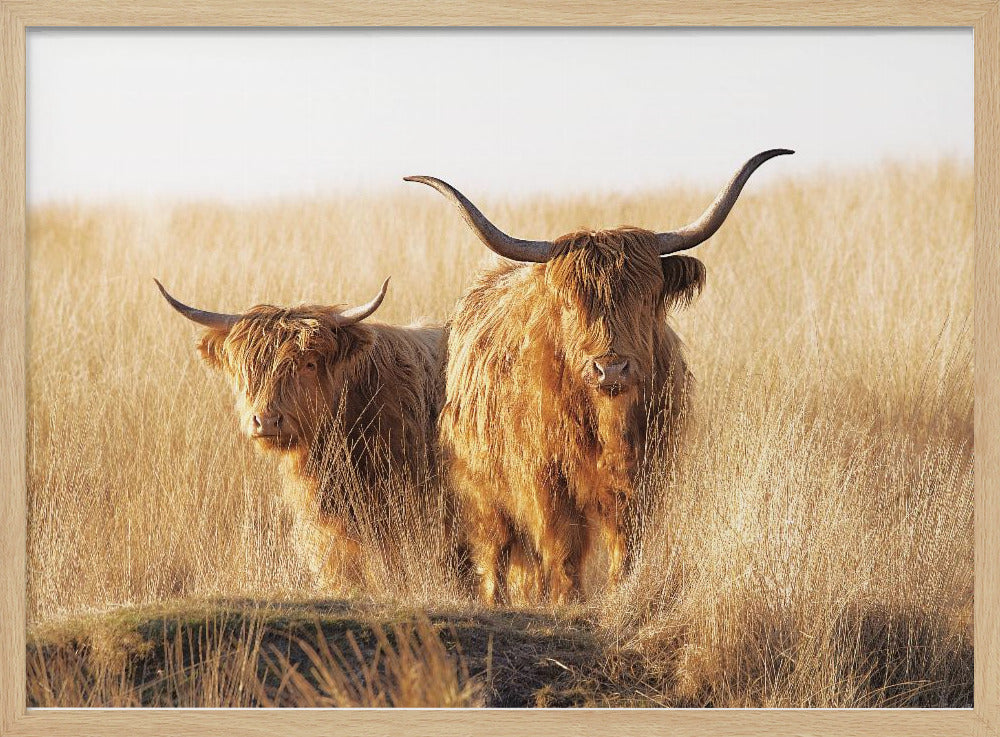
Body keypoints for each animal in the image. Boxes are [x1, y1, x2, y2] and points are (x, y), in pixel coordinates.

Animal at [406, 149, 792, 604]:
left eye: (645, 298)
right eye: (571, 304)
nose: (611, 368)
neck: (606, 423)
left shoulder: (642, 475)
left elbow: (625, 540)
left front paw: (618, 591)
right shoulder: (544, 479)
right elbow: (562, 544)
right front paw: (568, 599)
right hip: (481, 487)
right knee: (495, 549)